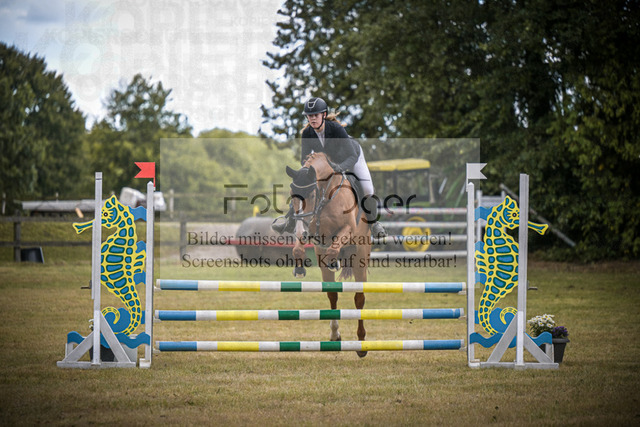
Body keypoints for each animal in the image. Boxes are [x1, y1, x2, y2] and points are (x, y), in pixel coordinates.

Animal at [285, 152, 372, 357]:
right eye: (292, 196)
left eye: (311, 194)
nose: (300, 230)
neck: (326, 196)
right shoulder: (314, 233)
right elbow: (298, 248)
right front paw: (299, 268)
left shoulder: (347, 229)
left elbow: (334, 247)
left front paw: (334, 260)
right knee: (332, 294)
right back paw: (335, 336)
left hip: (360, 257)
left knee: (359, 298)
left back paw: (361, 343)